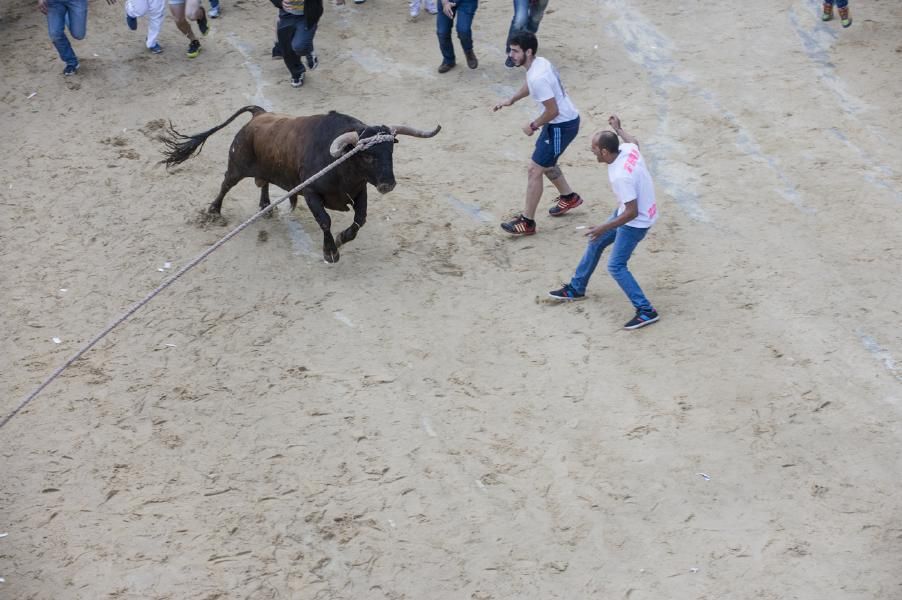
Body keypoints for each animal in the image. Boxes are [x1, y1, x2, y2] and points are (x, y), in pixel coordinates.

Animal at [0, 132, 398, 432]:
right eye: (368, 155)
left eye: (390, 150)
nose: (389, 183)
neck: (344, 168)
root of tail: (258, 115)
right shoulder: (317, 192)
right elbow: (327, 222)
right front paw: (331, 250)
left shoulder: (357, 193)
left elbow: (359, 220)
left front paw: (343, 239)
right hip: (238, 165)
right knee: (227, 183)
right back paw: (215, 212)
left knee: (263, 184)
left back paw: (266, 207)